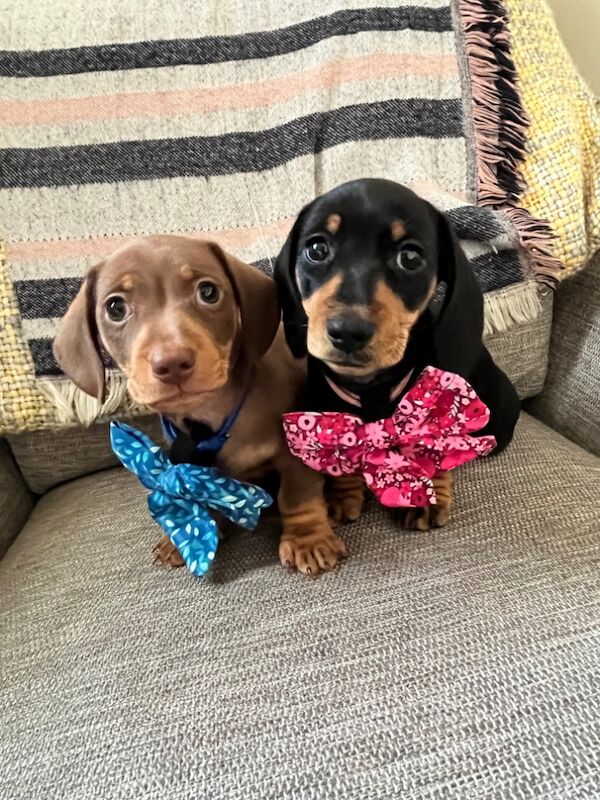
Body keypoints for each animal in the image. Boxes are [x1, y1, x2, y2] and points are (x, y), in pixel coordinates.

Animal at [56, 234, 346, 580]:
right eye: (115, 308)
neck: (208, 418)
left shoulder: (296, 450)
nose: (171, 363)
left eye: (208, 292)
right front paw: (182, 534)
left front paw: (308, 541)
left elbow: (297, 494)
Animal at [274, 181, 516, 532]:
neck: (369, 386)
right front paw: (340, 492)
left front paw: (430, 493)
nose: (348, 331)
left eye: (410, 257)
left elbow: (436, 448)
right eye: (317, 249)